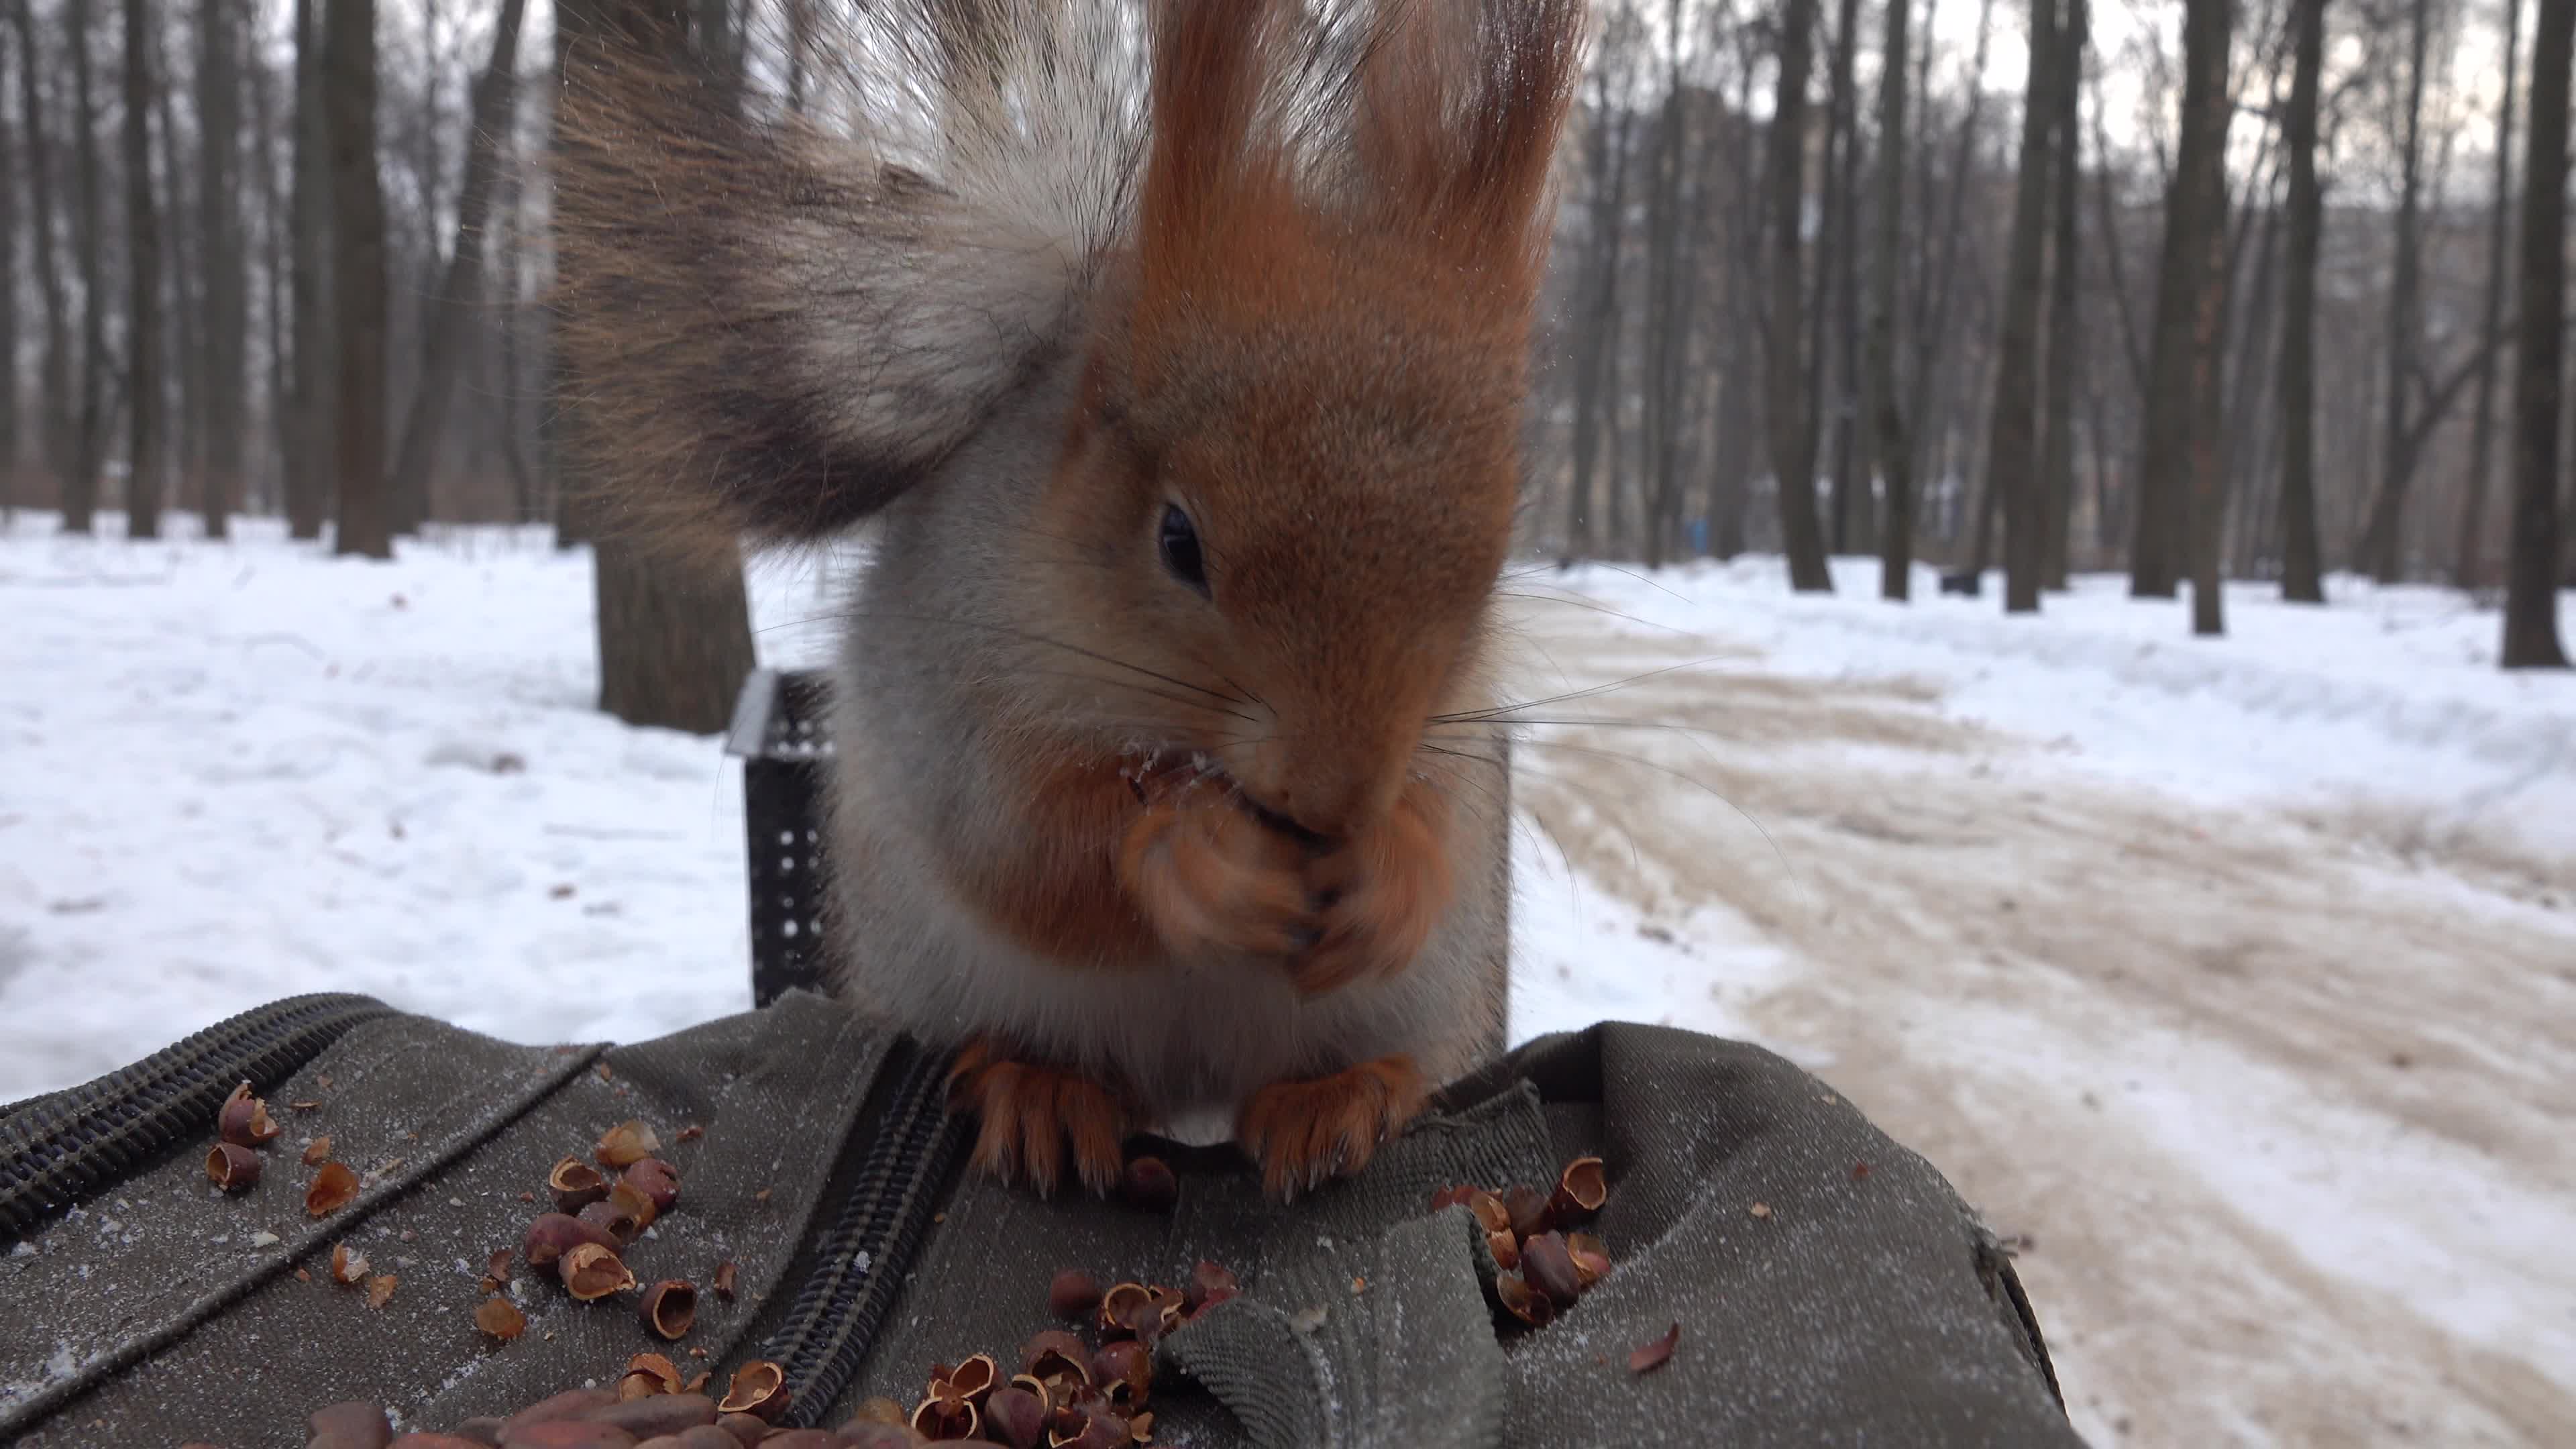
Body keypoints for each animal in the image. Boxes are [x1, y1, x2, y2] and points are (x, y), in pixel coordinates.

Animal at [553, 3, 1576, 1196]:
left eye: (1494, 562)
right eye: (1177, 541)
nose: (1333, 800)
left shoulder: (1460, 733)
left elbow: (1442, 815)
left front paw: (1395, 876)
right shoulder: (948, 678)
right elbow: (1024, 843)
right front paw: (1194, 859)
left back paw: (1342, 1093)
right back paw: (1044, 1088)